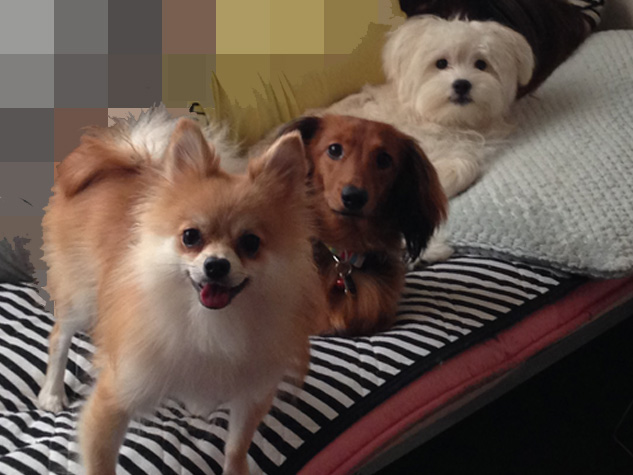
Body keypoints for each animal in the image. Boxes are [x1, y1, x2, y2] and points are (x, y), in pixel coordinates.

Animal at [38, 108, 325, 475]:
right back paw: (51, 392)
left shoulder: (253, 391)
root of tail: (127, 156)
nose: (216, 265)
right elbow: (101, 460)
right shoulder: (114, 397)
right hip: (80, 298)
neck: (209, 322)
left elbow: (236, 447)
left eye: (251, 243)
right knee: (59, 337)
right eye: (191, 236)